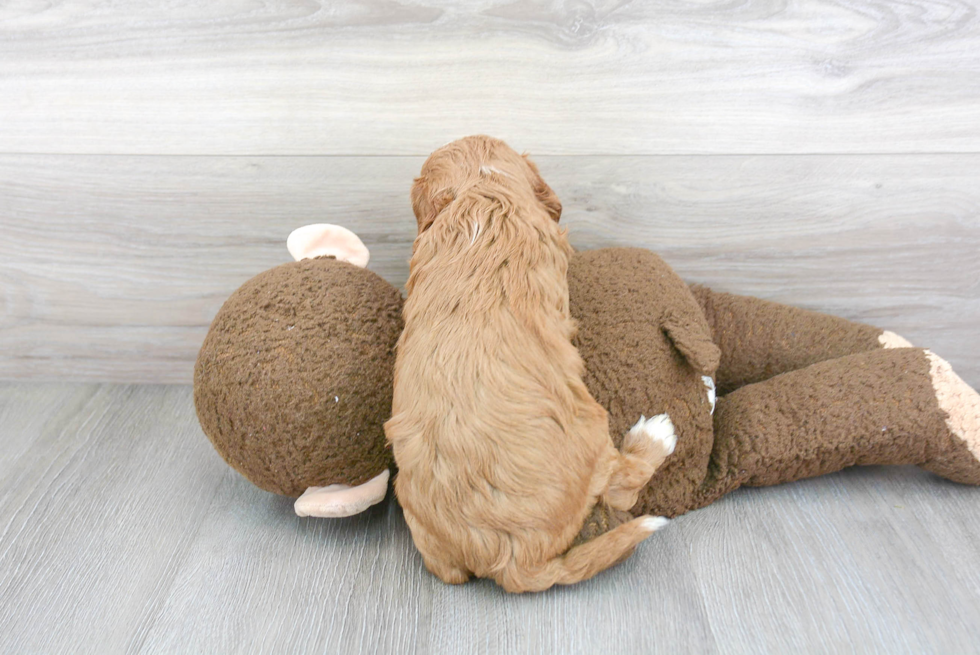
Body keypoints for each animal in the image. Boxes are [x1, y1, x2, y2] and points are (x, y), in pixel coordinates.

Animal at [386, 135, 676, 596]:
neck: (482, 190)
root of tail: (513, 561)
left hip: (428, 538)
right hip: (592, 431)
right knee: (621, 487)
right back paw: (655, 436)